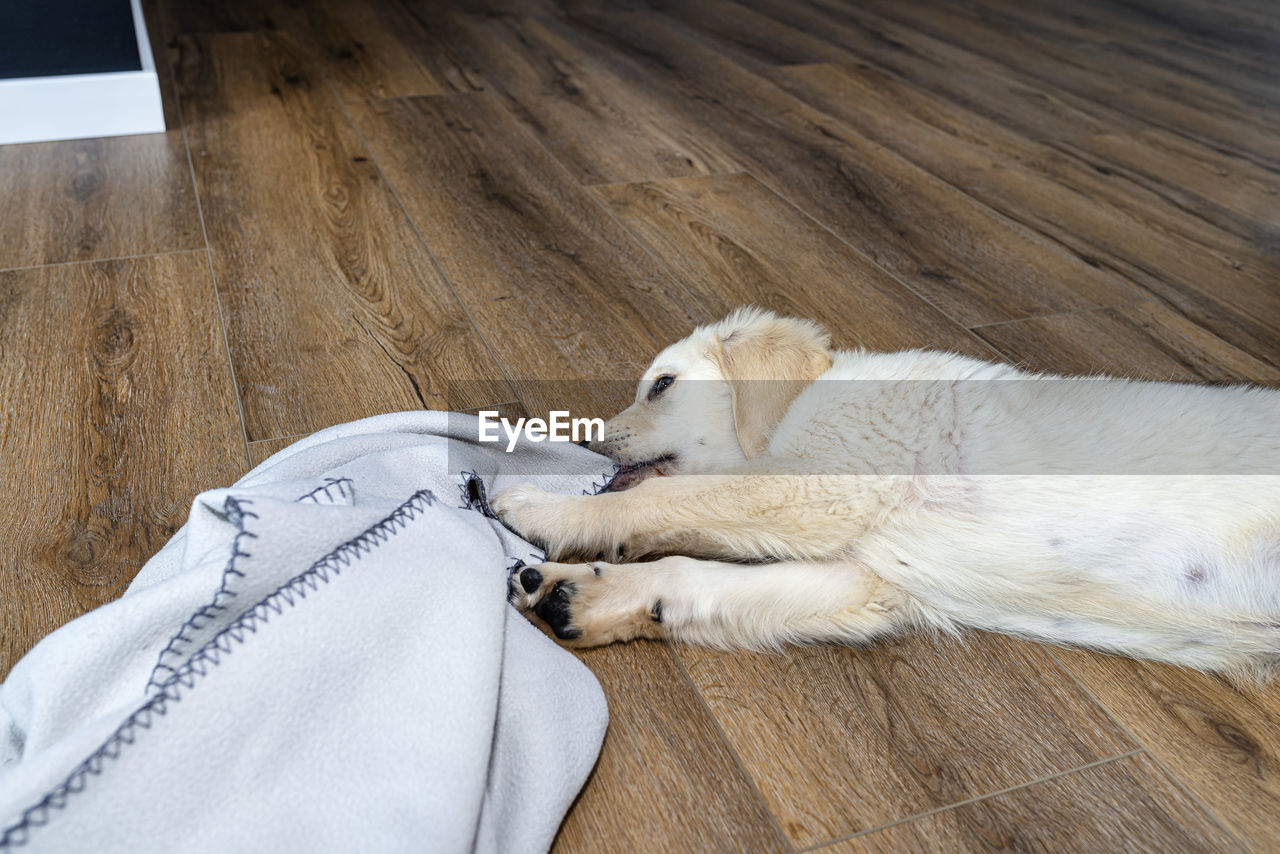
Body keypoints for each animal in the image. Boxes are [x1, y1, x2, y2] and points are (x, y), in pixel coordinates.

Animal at [488, 311, 1280, 676]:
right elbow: (691, 576)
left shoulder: (824, 487)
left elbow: (655, 505)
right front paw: (582, 592)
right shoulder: (866, 580)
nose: (591, 445)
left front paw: (543, 508)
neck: (799, 408)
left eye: (661, 386)